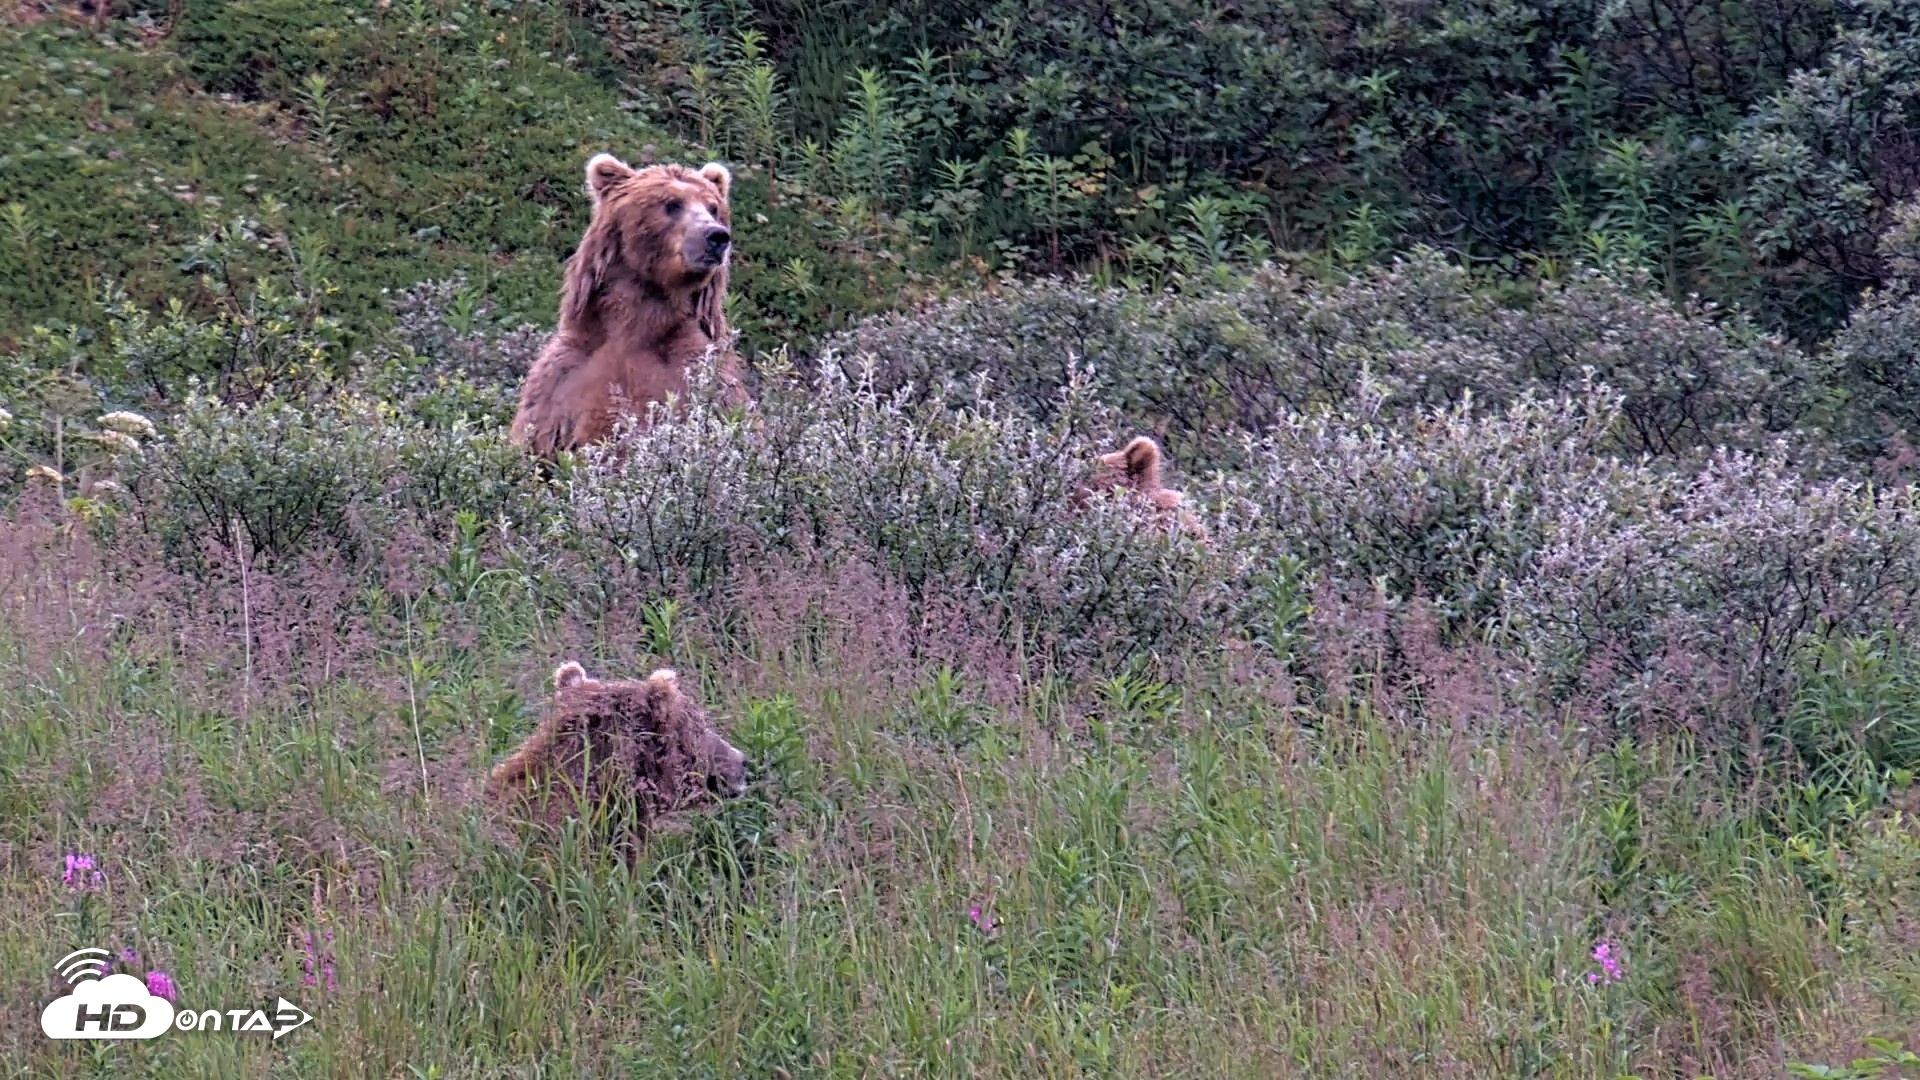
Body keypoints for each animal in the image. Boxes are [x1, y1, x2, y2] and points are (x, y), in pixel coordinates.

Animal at [508, 153, 749, 459]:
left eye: (713, 207)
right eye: (672, 204)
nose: (717, 236)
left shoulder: (701, 375)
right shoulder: (563, 380)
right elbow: (538, 439)